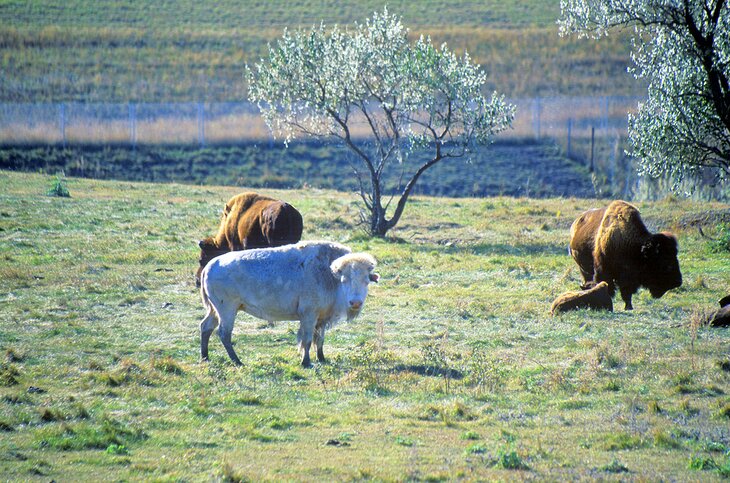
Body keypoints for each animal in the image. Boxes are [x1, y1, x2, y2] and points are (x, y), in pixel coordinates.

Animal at [199, 242, 382, 366]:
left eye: (366, 280)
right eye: (344, 280)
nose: (355, 302)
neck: (328, 273)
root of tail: (209, 266)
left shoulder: (321, 318)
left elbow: (319, 339)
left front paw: (322, 358)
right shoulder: (308, 315)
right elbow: (307, 339)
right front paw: (306, 362)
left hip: (215, 311)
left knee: (206, 326)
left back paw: (205, 357)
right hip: (227, 310)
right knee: (224, 333)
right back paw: (237, 361)